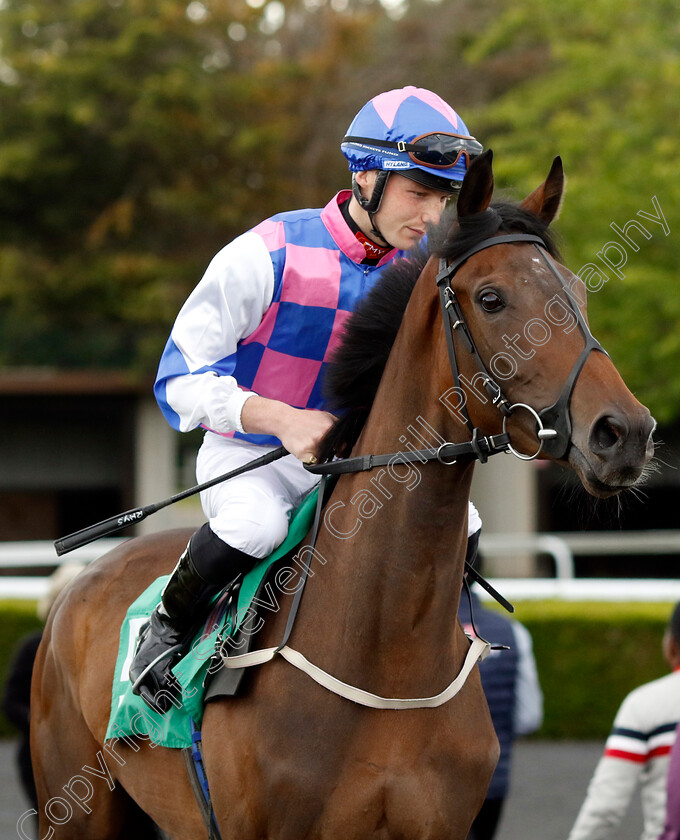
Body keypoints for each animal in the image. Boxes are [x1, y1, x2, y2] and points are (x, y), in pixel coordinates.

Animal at [30, 153, 652, 840]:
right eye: (492, 299)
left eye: (580, 294)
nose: (625, 433)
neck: (383, 660)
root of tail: (82, 581)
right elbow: (186, 374)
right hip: (75, 805)